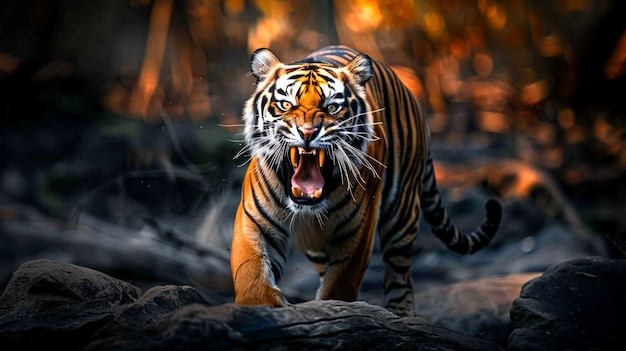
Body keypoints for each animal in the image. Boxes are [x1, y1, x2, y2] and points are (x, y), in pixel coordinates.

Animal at [230, 45, 502, 318]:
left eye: (332, 108)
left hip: (402, 217)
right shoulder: (255, 222)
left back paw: (402, 315)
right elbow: (251, 268)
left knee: (401, 277)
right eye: (286, 104)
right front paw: (259, 306)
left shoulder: (357, 232)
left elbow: (340, 284)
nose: (307, 132)